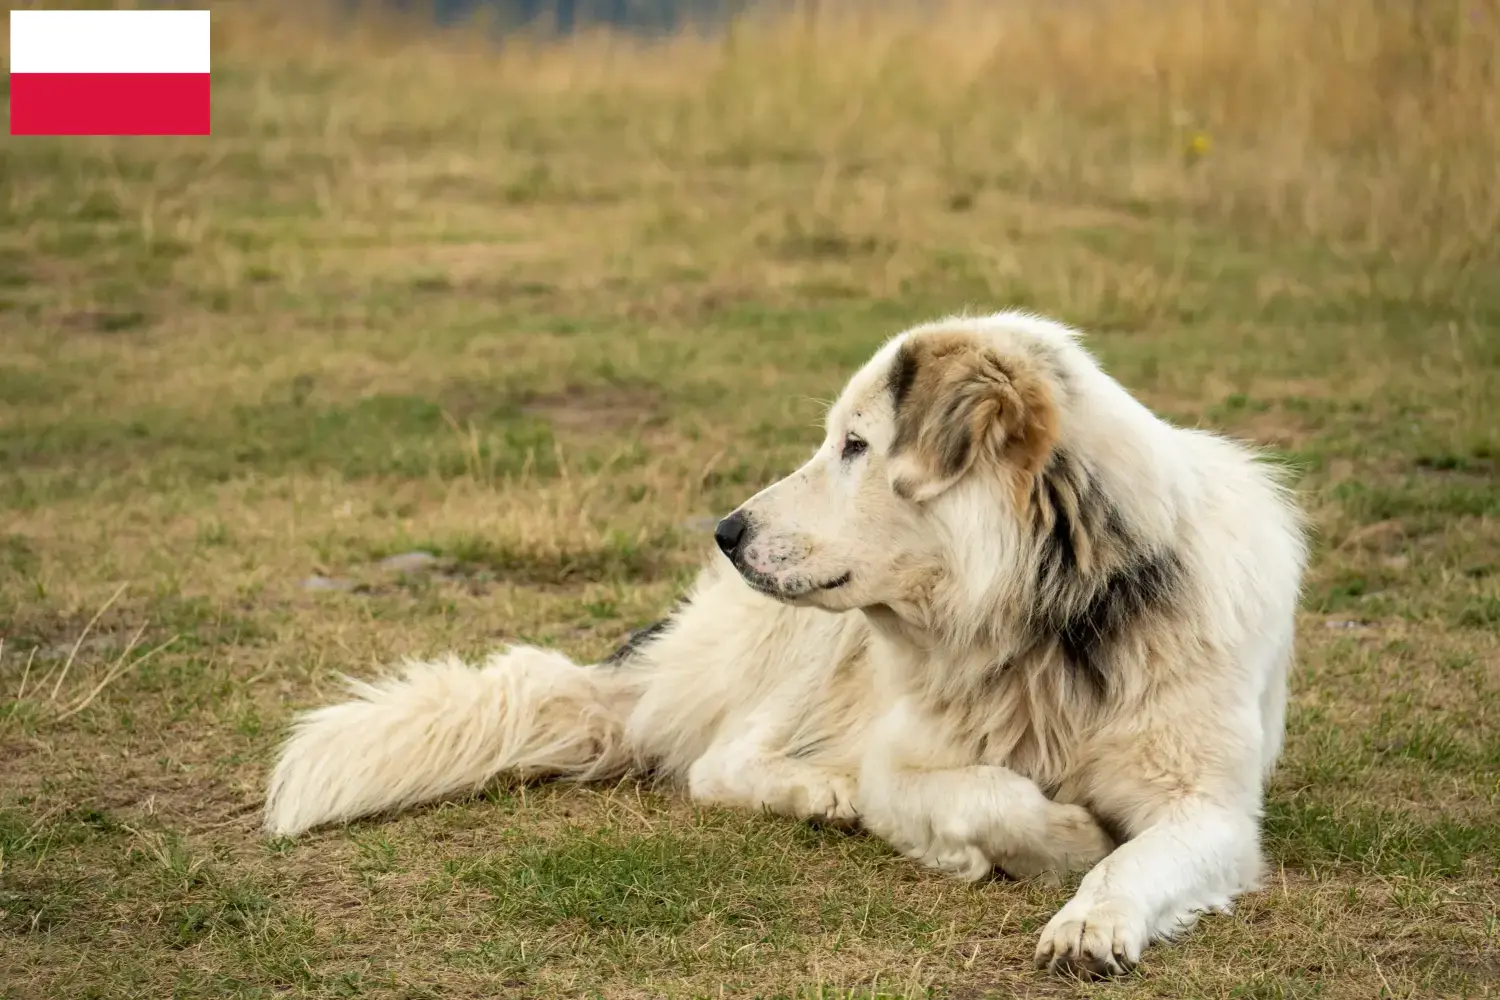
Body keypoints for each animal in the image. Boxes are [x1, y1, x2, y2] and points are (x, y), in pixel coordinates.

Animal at [264, 313, 1308, 977]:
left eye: (855, 446)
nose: (726, 532)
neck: (1051, 618)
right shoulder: (906, 761)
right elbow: (993, 798)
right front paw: (1064, 838)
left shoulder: (1211, 809)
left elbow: (1140, 858)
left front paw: (1092, 916)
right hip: (810, 645)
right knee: (718, 764)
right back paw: (821, 794)